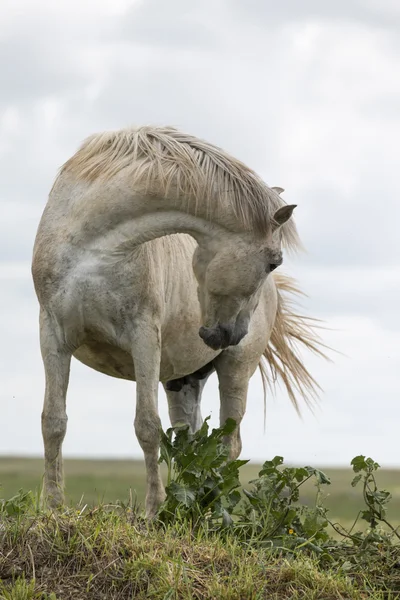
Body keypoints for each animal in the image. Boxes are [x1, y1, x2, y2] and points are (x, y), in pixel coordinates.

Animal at [32, 125, 326, 516]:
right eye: (273, 261)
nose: (229, 334)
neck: (92, 242)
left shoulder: (143, 336)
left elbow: (147, 426)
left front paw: (154, 510)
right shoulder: (53, 333)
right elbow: (54, 421)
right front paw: (52, 507)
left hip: (235, 371)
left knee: (228, 444)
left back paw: (215, 510)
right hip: (183, 381)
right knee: (191, 444)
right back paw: (192, 505)